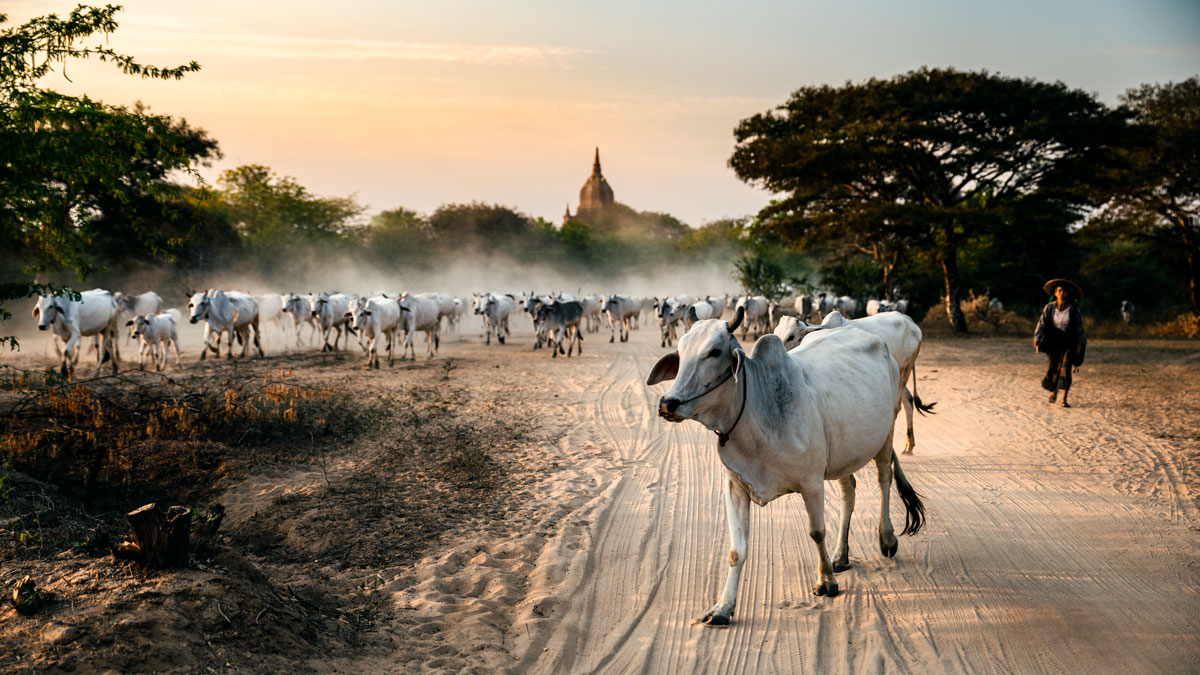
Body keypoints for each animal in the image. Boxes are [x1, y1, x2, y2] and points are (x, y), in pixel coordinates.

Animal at [777, 309, 936, 451]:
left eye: (791, 337)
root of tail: (911, 323)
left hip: (904, 372)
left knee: (897, 408)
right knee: (908, 401)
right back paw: (908, 447)